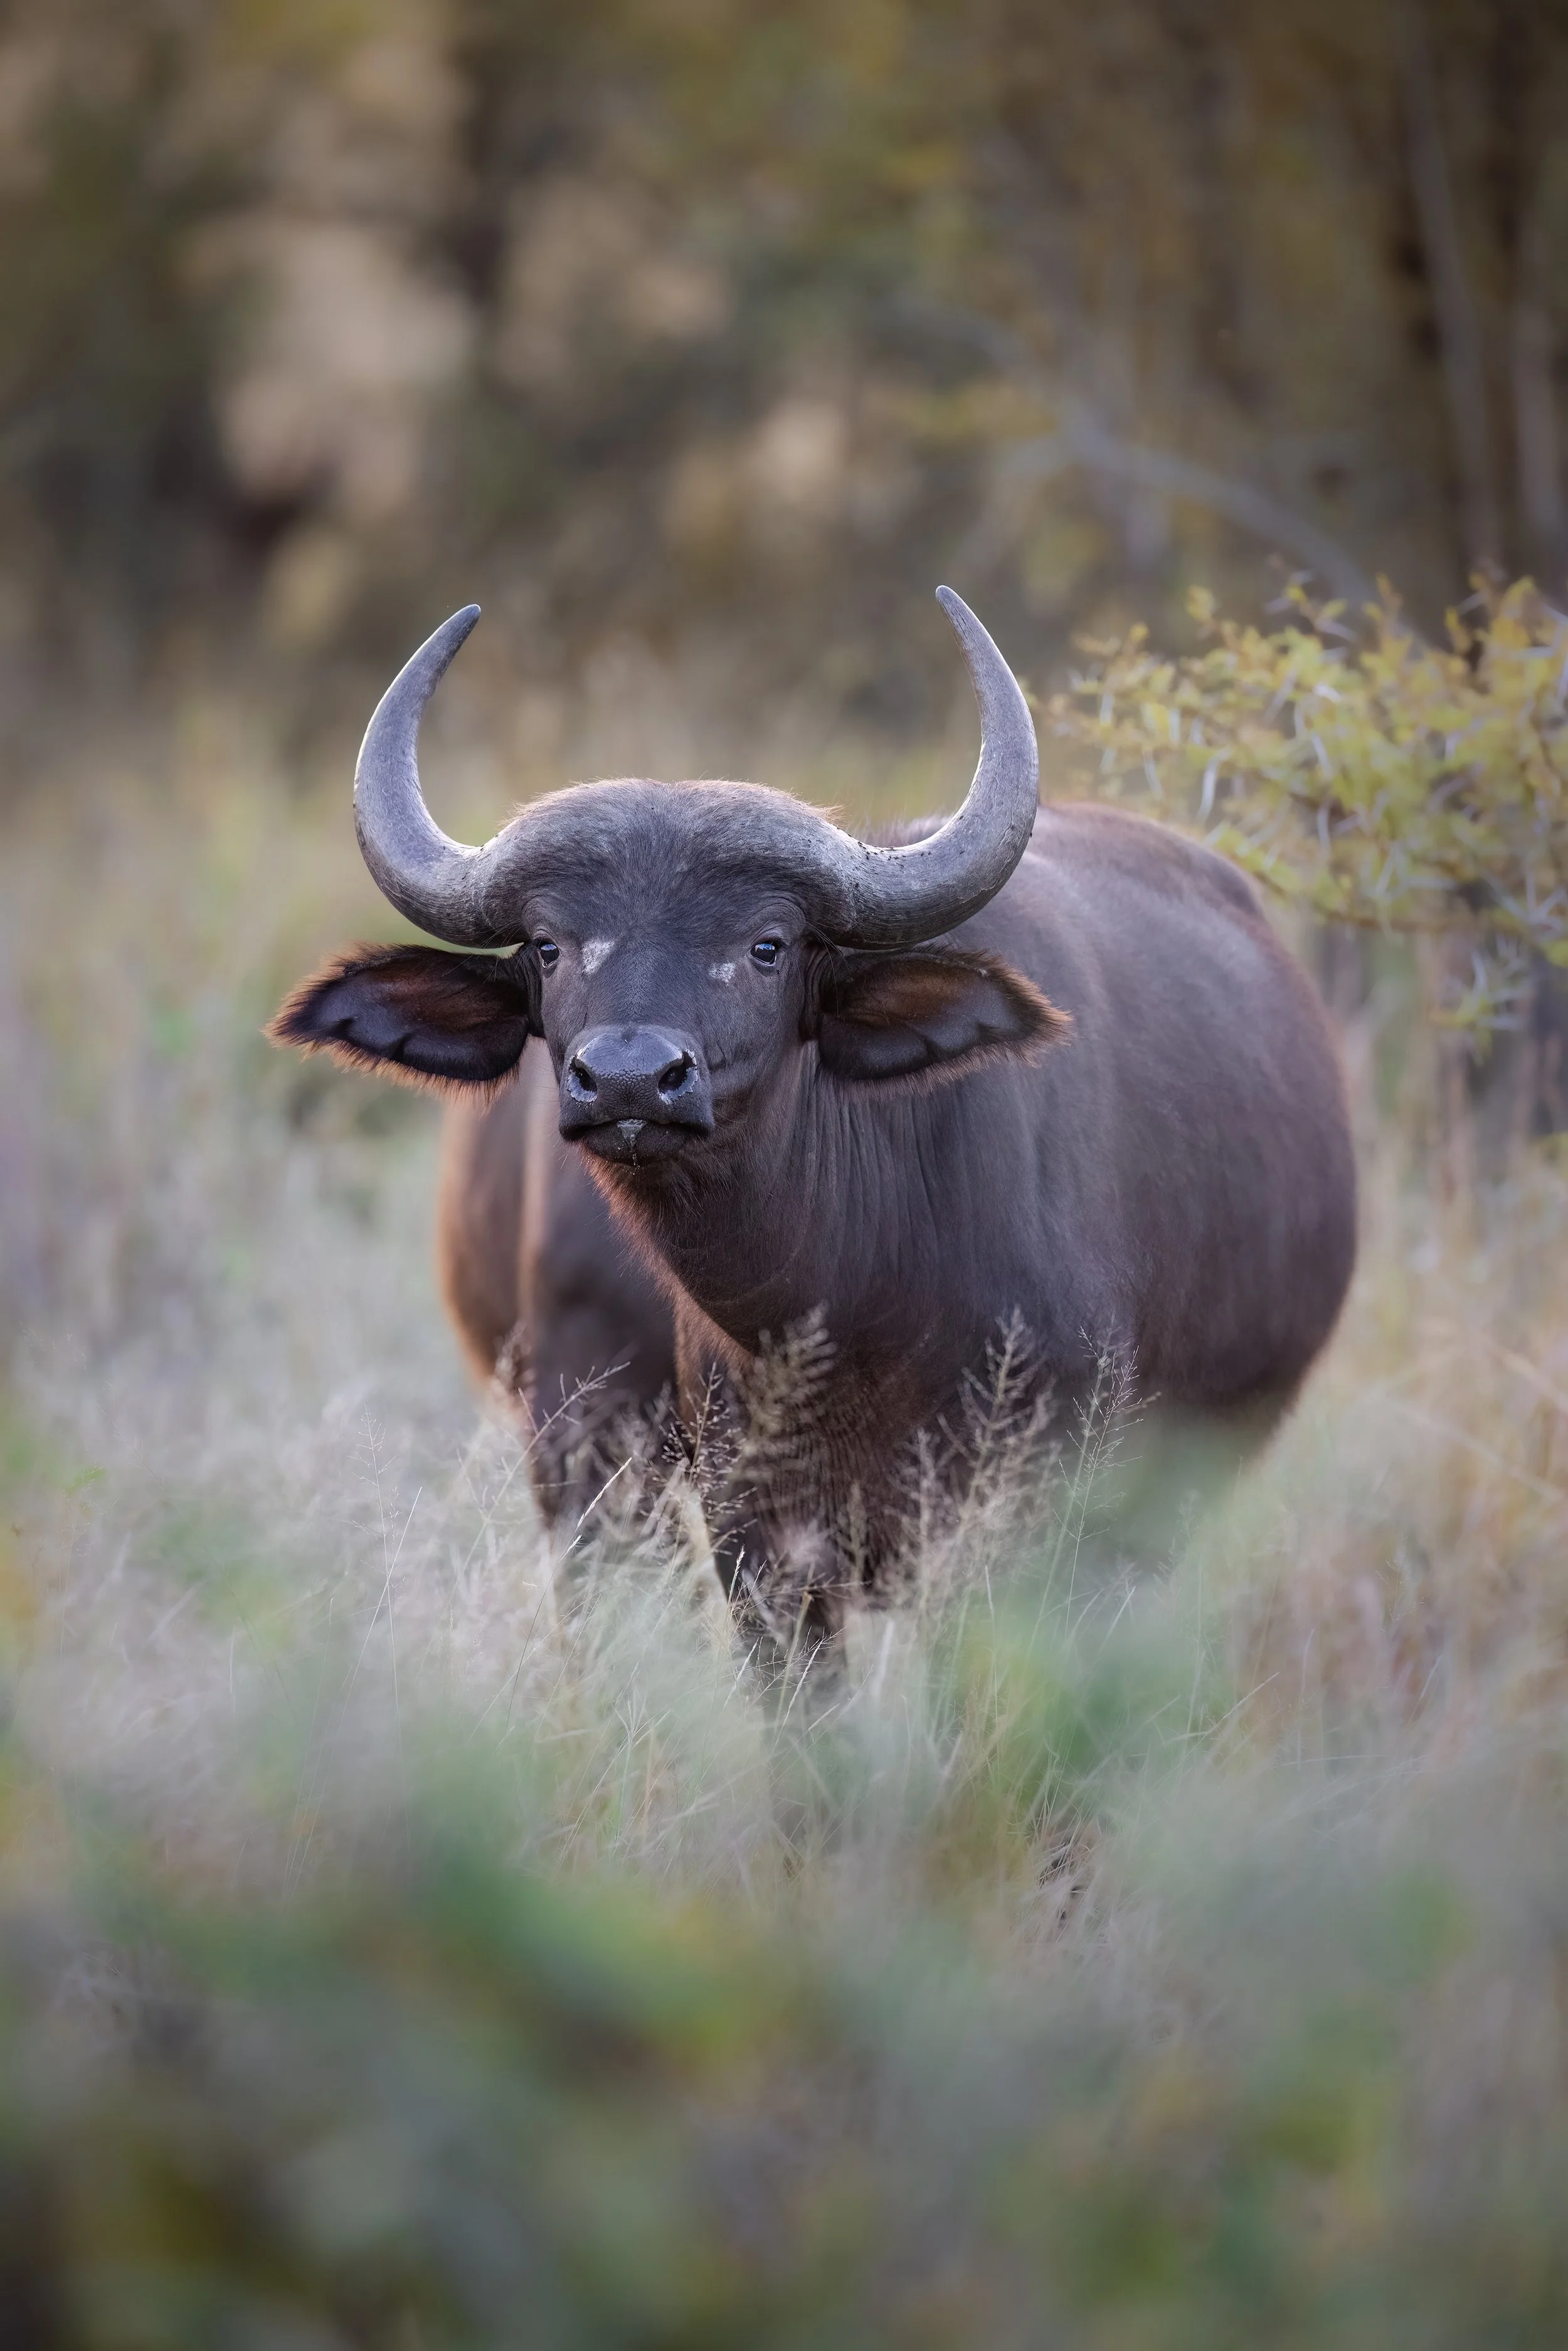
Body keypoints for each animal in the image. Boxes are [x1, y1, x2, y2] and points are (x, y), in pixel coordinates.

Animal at [271, 591, 1356, 1640]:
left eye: (768, 944)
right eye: (547, 945)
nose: (629, 1080)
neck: (854, 1303)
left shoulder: (1026, 1524)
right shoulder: (723, 1527)